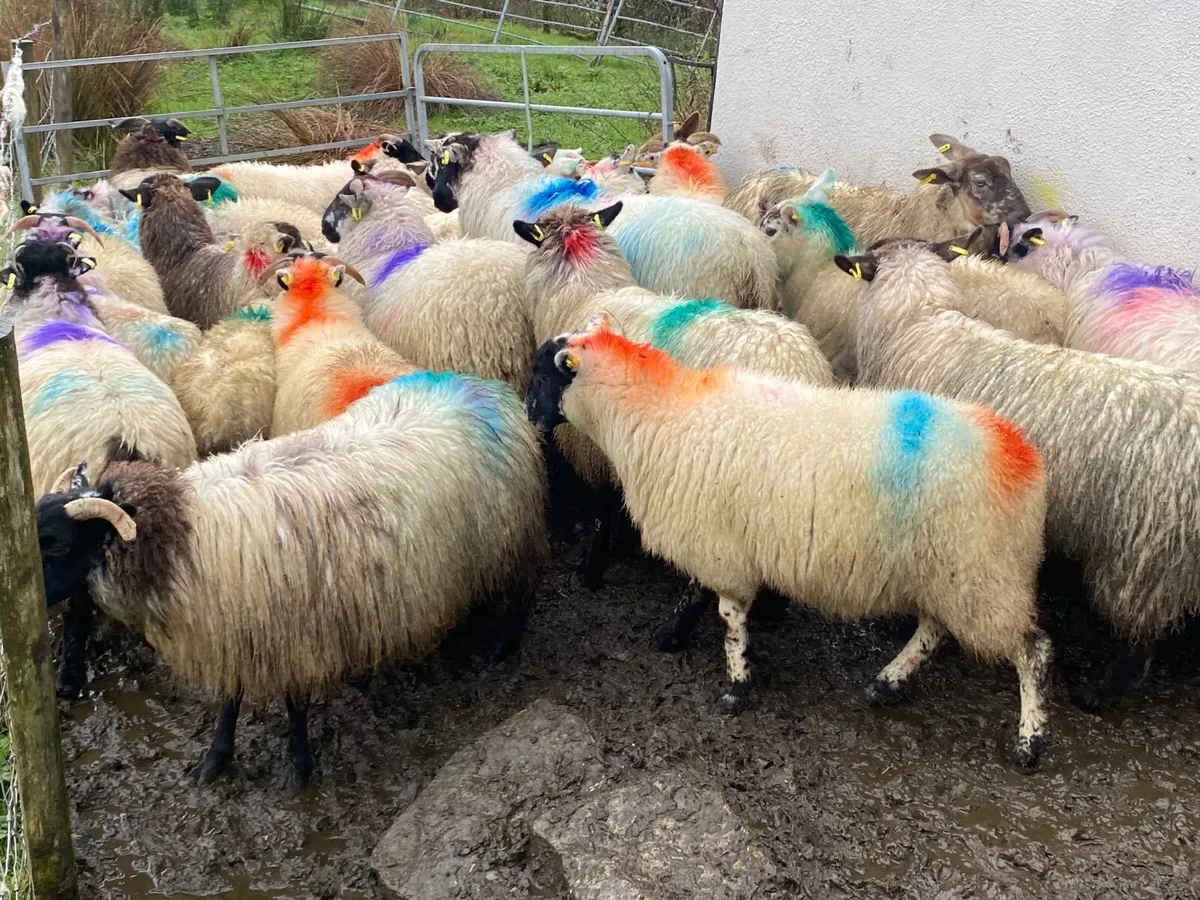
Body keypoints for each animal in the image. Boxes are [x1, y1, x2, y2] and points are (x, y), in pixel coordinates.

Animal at [35, 361, 548, 788]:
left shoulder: (296, 633)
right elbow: (230, 700)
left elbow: (294, 706)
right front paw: (216, 759)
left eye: (59, 544)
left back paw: (501, 646)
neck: (186, 533)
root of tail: (487, 387)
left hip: (512, 533)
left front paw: (299, 770)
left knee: (522, 590)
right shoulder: (237, 630)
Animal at [517, 202, 832, 589]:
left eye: (541, 373)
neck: (585, 291)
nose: (528, 412)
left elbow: (603, 509)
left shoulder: (595, 446)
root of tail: (801, 365)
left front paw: (594, 569)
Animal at [526, 318, 1052, 767]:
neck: (656, 411)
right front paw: (674, 635)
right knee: (933, 629)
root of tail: (1022, 456)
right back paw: (884, 685)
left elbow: (729, 619)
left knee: (1033, 650)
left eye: (543, 373)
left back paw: (1029, 742)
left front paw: (735, 689)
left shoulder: (719, 546)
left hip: (983, 570)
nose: (529, 415)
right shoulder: (714, 539)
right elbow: (697, 592)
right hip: (951, 571)